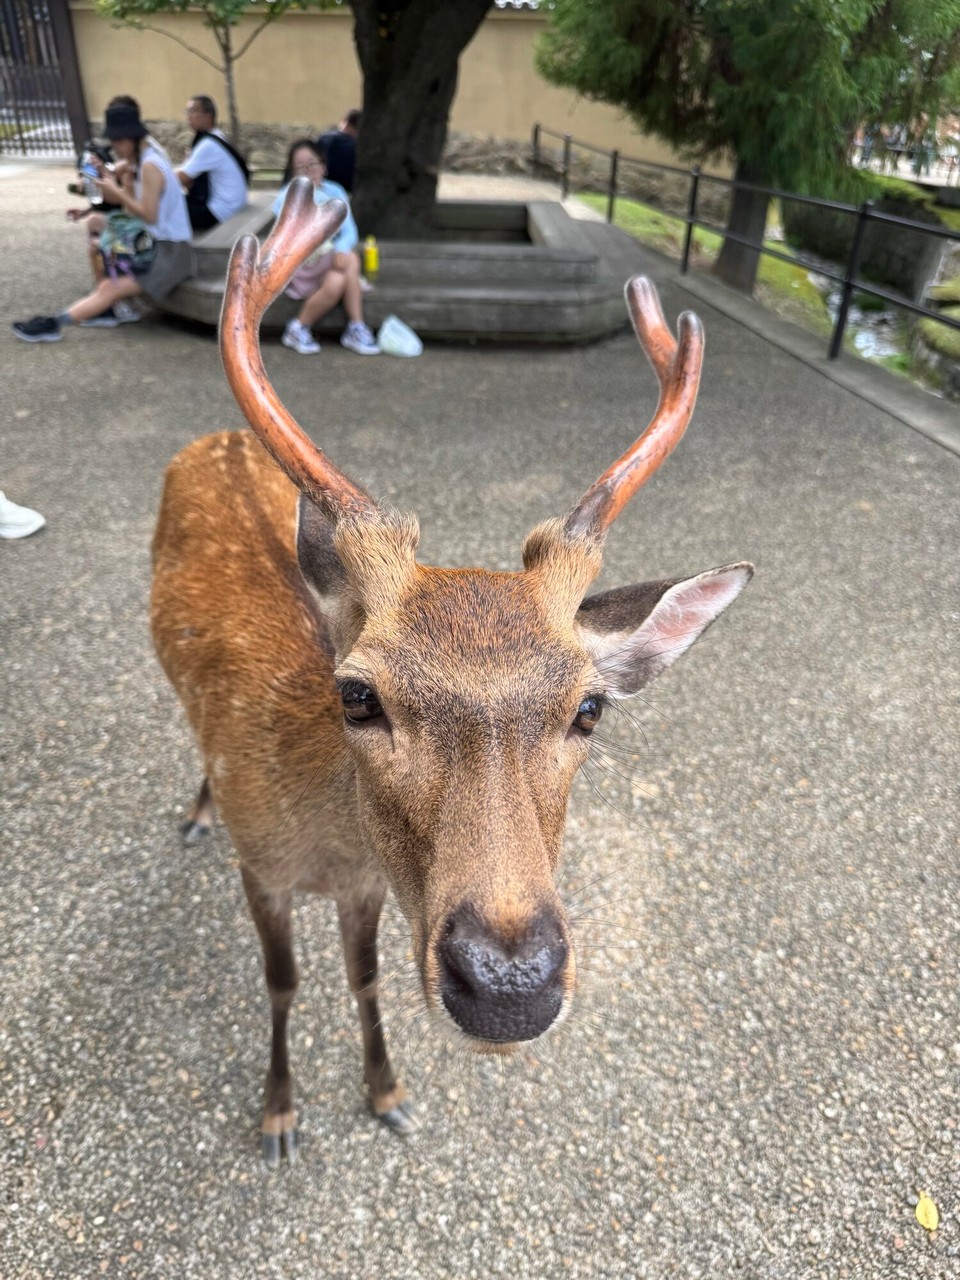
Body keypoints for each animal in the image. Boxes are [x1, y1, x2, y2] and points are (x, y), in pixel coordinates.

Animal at [150, 179, 753, 1169]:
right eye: (358, 696)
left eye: (589, 709)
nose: (510, 983)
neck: (324, 847)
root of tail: (216, 437)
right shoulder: (260, 866)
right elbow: (283, 983)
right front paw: (278, 1114)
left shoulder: (363, 886)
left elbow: (361, 978)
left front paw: (386, 1091)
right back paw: (197, 810)